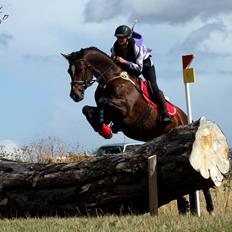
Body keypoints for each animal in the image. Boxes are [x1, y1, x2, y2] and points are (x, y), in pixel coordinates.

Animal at [61, 46, 214, 215]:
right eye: (69, 70)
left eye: (80, 69)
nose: (75, 95)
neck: (110, 79)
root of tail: (186, 118)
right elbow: (87, 109)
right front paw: (104, 128)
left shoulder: (125, 109)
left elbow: (103, 101)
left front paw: (105, 128)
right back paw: (184, 207)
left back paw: (209, 209)